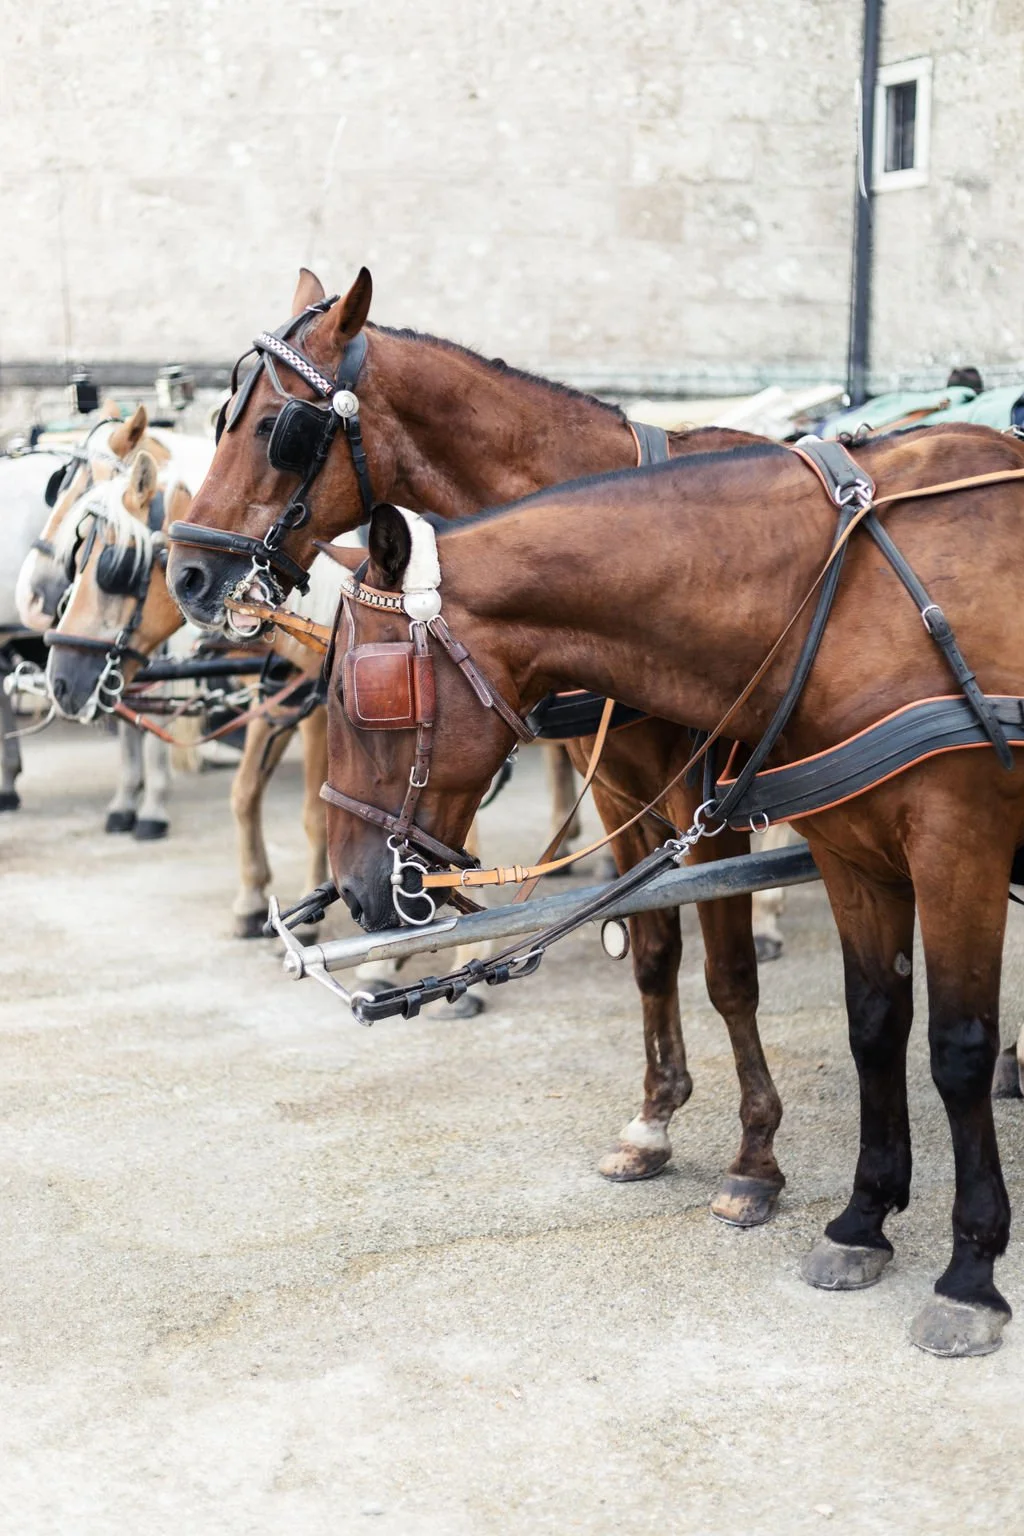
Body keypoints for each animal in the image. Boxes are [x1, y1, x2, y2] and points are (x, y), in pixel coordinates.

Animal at [164, 268, 790, 1221]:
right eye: (219, 420)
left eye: (277, 428)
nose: (188, 575)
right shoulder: (624, 792)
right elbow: (652, 953)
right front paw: (653, 1120)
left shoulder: (705, 802)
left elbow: (726, 974)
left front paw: (754, 1153)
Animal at [311, 420, 1024, 1357]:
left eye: (359, 692)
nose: (355, 889)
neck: (841, 598)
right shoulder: (849, 854)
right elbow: (871, 1027)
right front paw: (861, 1220)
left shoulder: (957, 846)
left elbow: (953, 1047)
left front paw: (969, 1271)